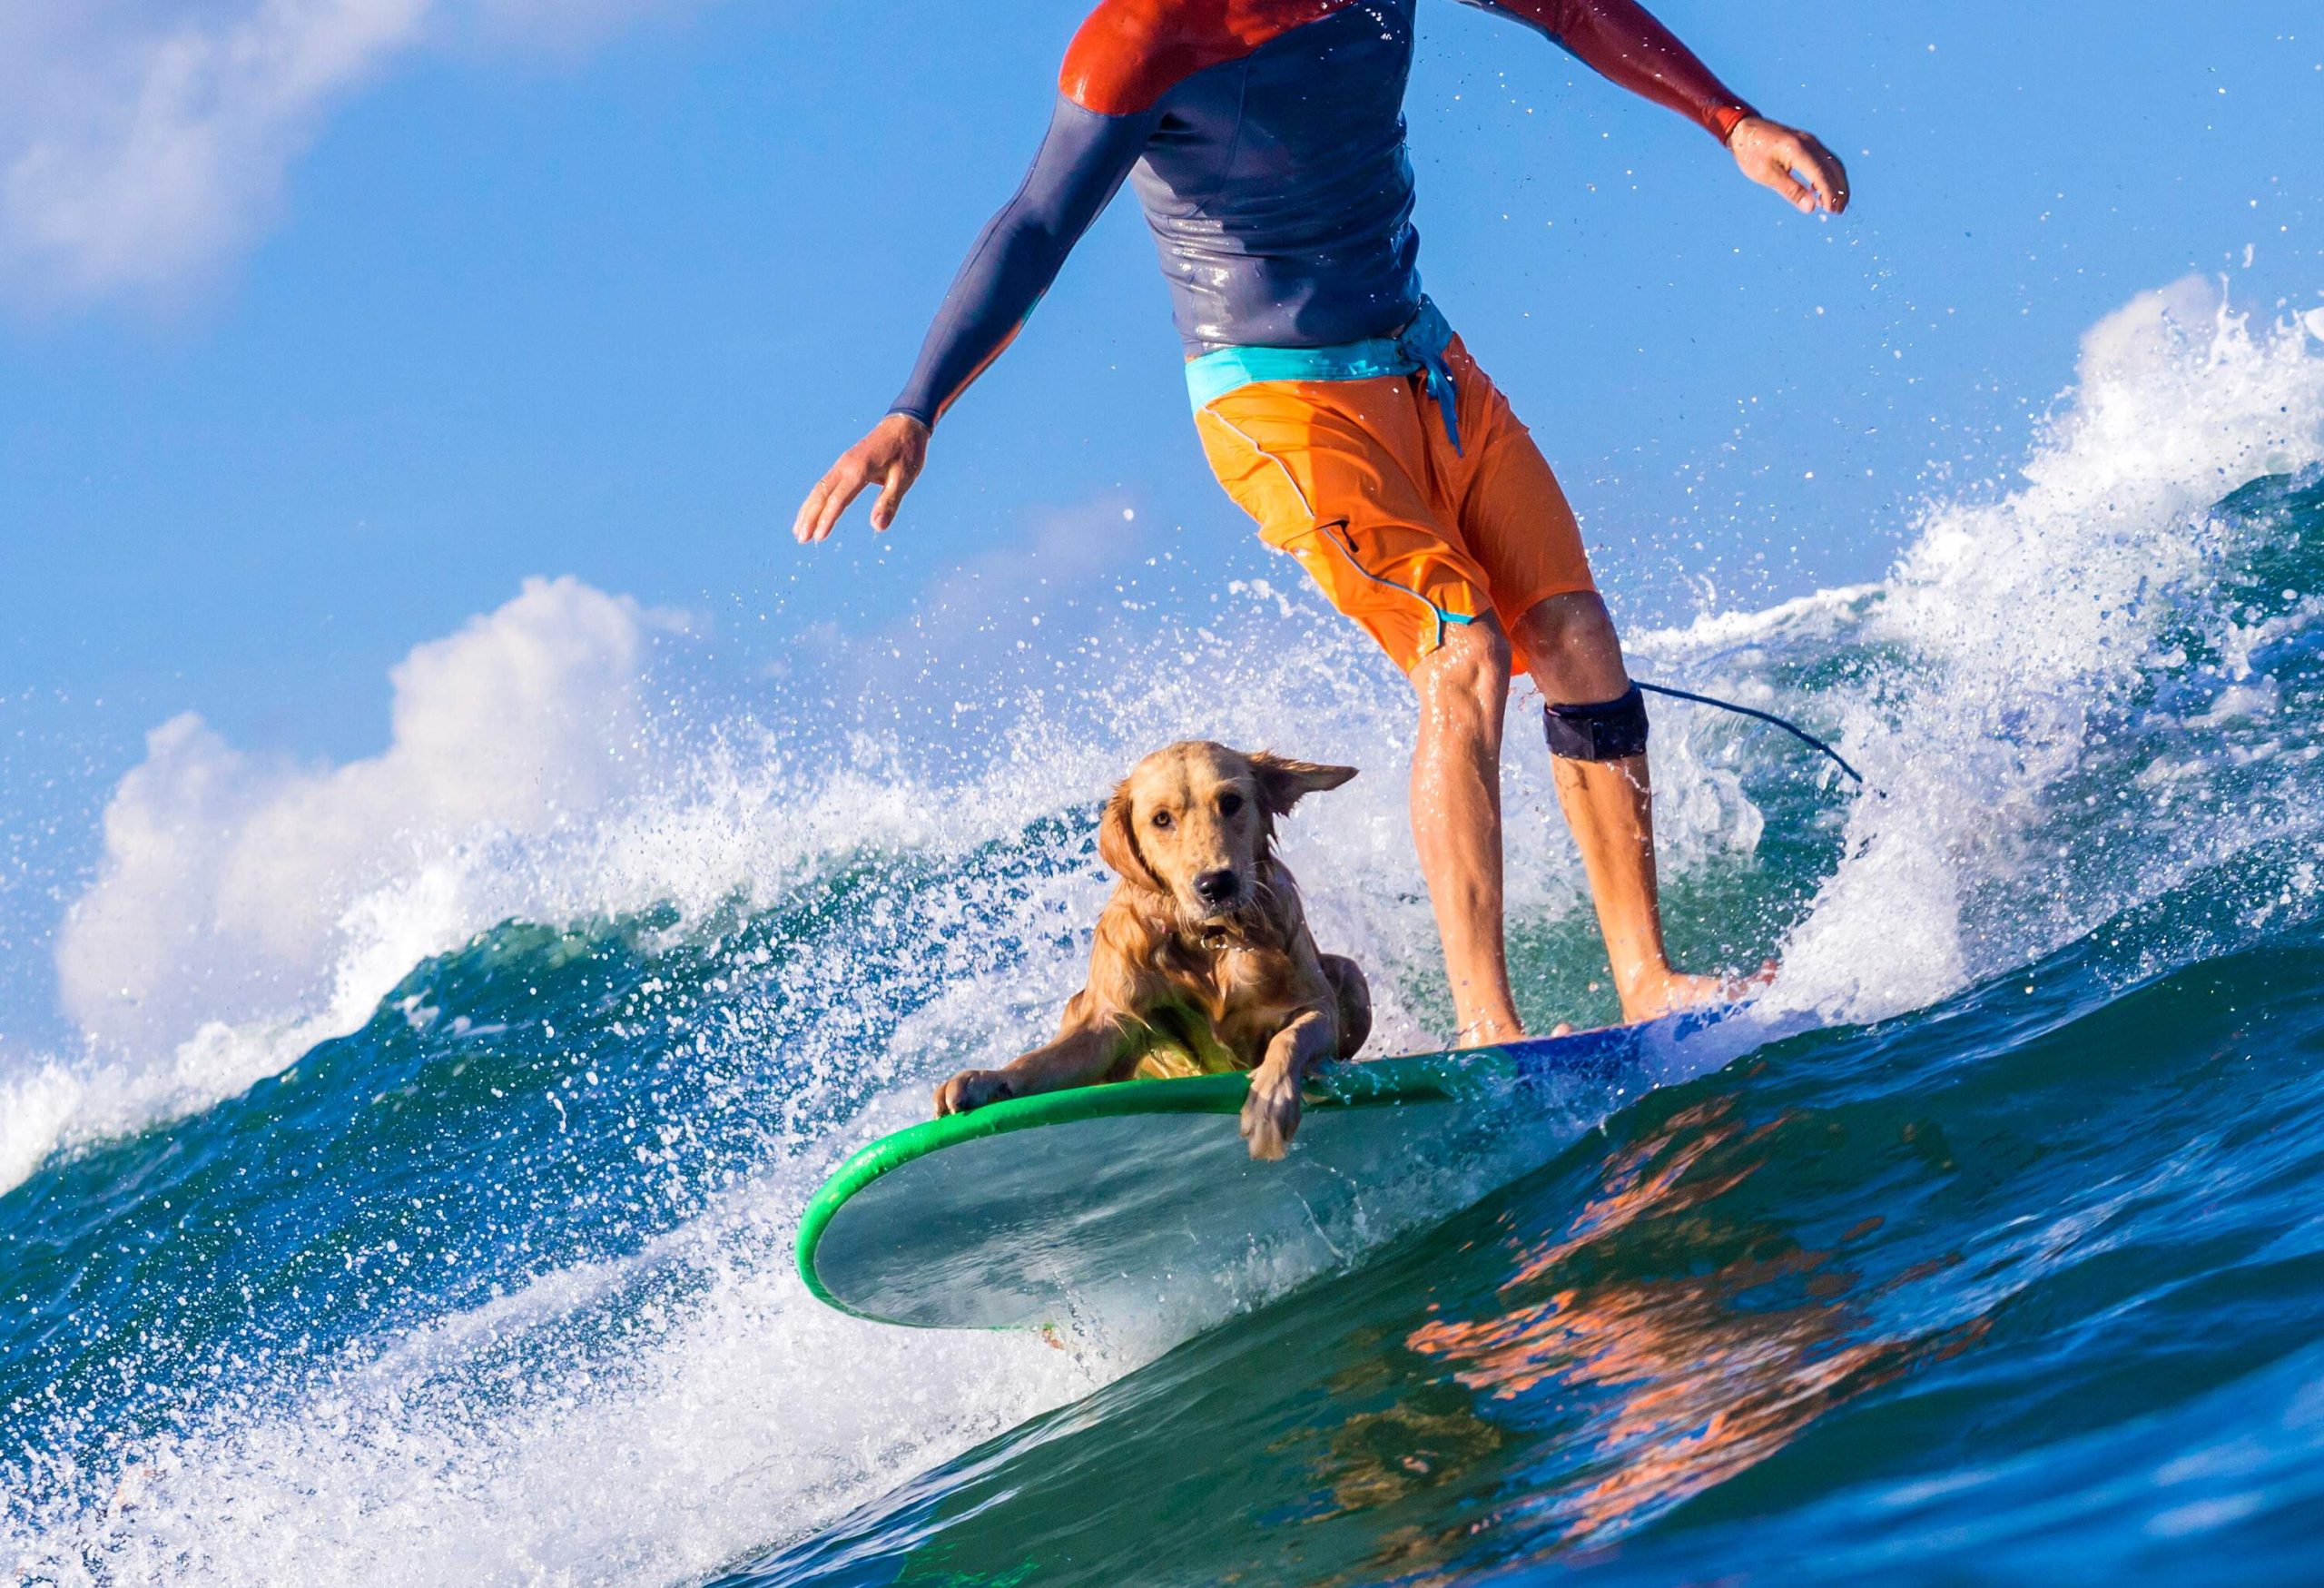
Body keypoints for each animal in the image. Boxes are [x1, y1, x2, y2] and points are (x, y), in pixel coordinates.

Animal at [934, 739, 1366, 1162]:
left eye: (1230, 801)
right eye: (1161, 819)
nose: (1215, 885)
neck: (1209, 938)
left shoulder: (1316, 1005)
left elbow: (1290, 1039)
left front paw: (1270, 1103)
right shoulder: (1111, 1022)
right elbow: (1039, 1061)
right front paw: (985, 1080)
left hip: (1353, 978)